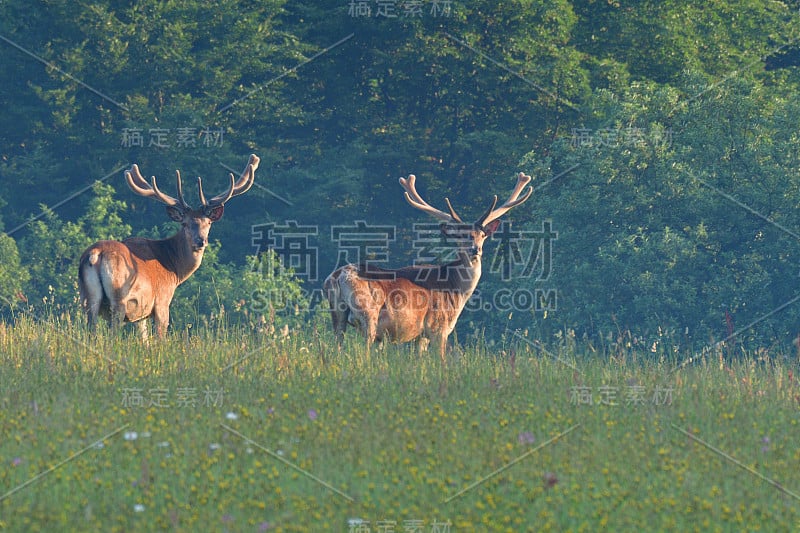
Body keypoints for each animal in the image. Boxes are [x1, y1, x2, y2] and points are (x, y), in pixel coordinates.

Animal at [79, 154, 258, 336]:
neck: (173, 268)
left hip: (88, 298)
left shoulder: (141, 314)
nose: (200, 241)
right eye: (184, 224)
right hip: (119, 297)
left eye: (208, 223)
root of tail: (96, 254)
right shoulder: (162, 300)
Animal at [324, 170, 532, 362]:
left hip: (338, 314)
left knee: (337, 346)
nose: (475, 249)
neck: (455, 288)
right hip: (368, 313)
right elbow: (440, 360)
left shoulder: (420, 335)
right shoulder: (438, 326)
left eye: (482, 235)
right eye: (460, 235)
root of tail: (337, 276)